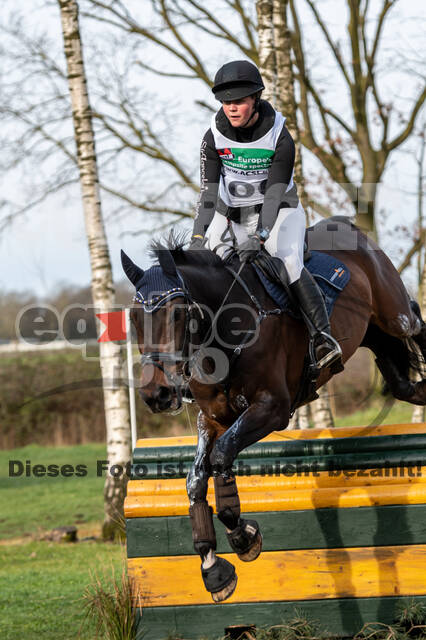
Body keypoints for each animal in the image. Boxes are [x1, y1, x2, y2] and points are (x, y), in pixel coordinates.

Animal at [120, 218, 426, 604]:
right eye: (133, 316)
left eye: (177, 313)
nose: (156, 394)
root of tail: (346, 225)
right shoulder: (214, 419)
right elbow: (195, 479)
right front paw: (213, 569)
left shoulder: (272, 408)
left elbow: (221, 458)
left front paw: (243, 535)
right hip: (379, 342)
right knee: (407, 386)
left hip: (393, 316)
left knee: (416, 320)